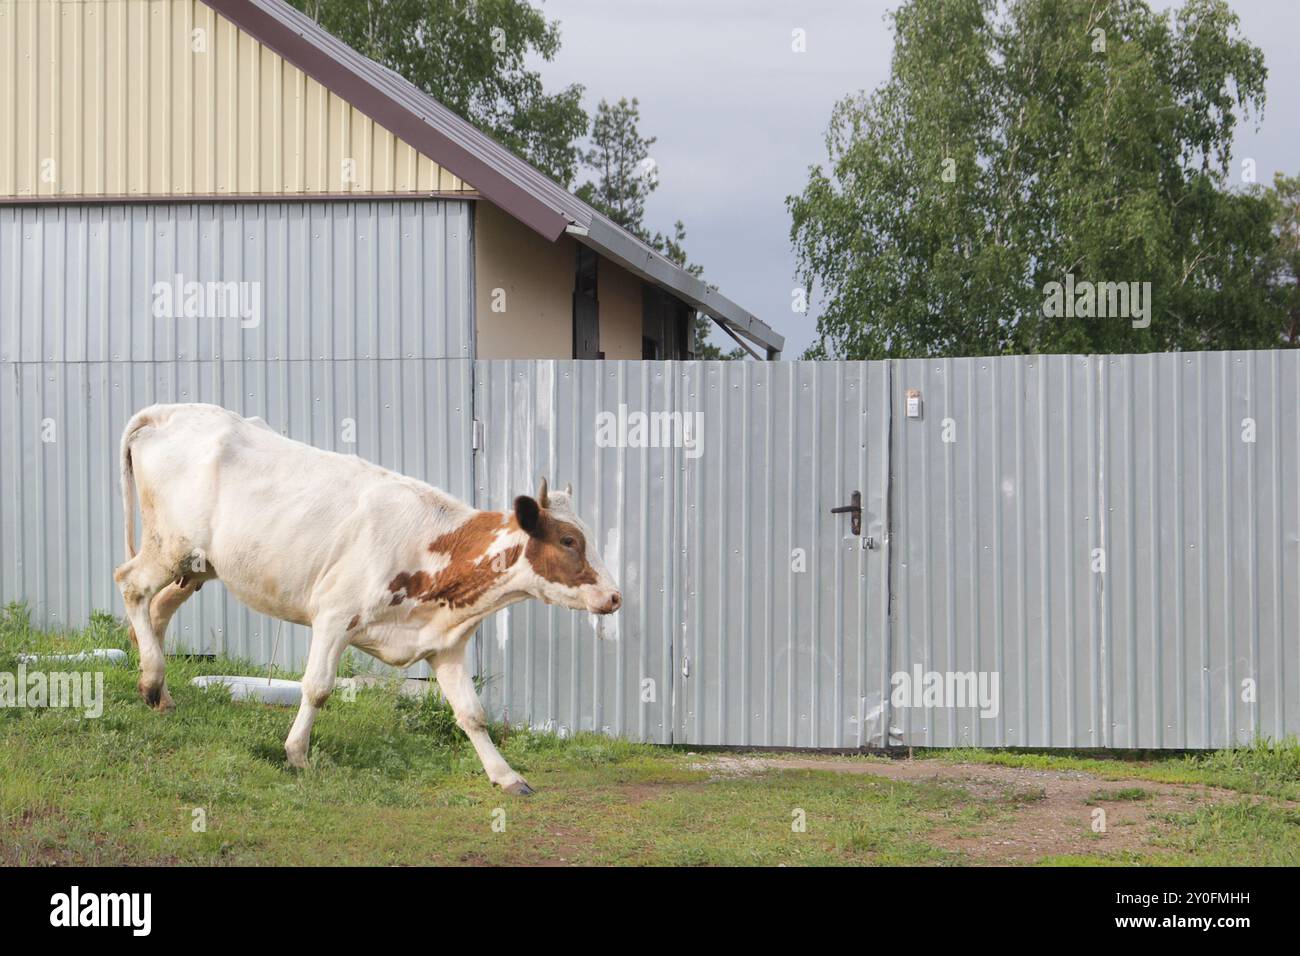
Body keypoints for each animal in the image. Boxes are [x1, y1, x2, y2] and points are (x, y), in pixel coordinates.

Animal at [114, 403, 621, 790]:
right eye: (569, 541)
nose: (615, 596)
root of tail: (168, 411)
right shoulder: (334, 615)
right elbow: (317, 688)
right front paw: (297, 753)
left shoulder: (446, 643)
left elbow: (472, 713)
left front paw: (505, 775)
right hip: (170, 546)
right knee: (131, 584)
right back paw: (152, 679)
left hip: (199, 566)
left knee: (157, 610)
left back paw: (159, 693)